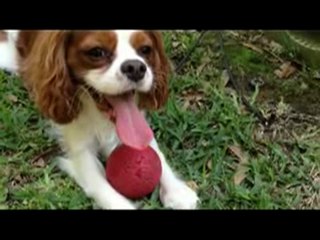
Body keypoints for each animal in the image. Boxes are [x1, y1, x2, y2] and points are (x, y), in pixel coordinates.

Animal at [0, 30, 199, 209]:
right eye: (97, 52)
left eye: (145, 49)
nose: (136, 67)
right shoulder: (81, 152)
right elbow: (105, 190)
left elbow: (155, 151)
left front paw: (176, 190)